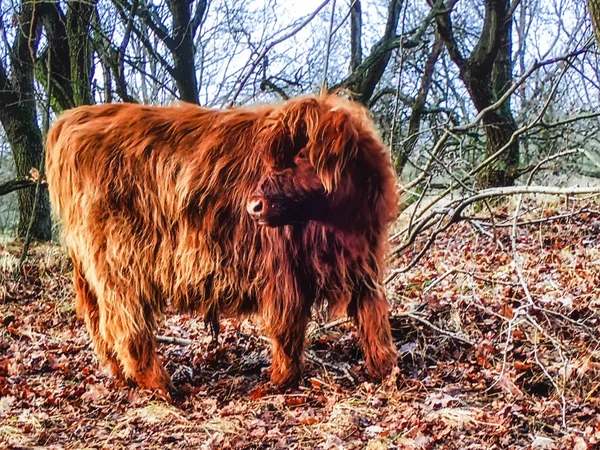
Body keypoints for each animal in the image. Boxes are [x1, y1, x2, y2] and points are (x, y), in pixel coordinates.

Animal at [47, 94, 400, 394]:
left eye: (302, 156)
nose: (254, 206)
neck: (338, 222)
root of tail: (75, 118)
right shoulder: (283, 270)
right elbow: (288, 326)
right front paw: (282, 378)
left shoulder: (363, 261)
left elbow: (372, 313)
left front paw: (386, 368)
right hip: (120, 262)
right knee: (124, 322)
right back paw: (160, 385)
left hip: (90, 269)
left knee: (99, 323)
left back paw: (123, 376)